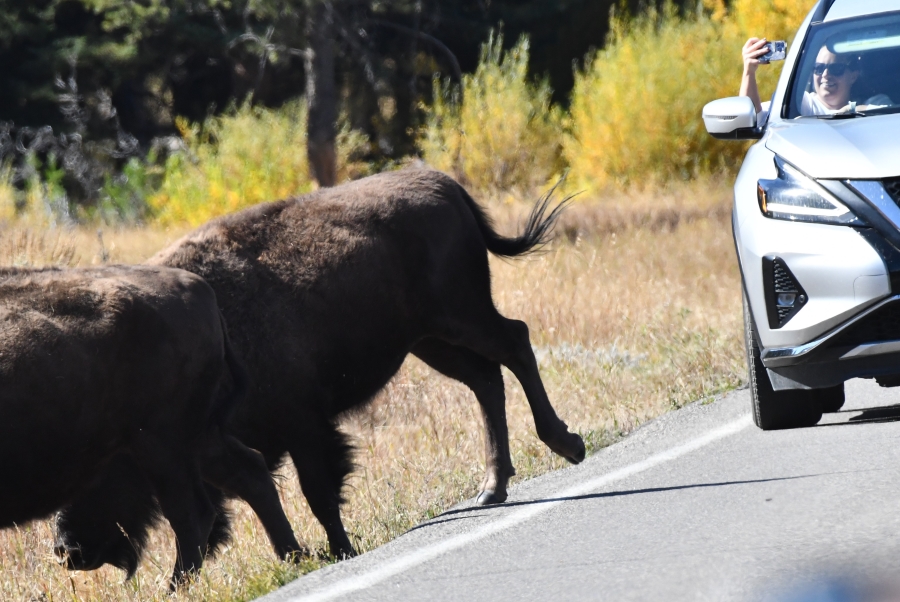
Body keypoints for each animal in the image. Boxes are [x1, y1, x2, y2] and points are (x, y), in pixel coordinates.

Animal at [0, 264, 302, 584]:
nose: (67, 552)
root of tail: (200, 290)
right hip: (198, 438)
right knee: (249, 475)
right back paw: (293, 557)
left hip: (161, 447)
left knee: (191, 513)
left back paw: (176, 588)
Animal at [59, 168, 588, 556]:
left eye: (102, 468)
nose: (67, 548)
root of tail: (443, 183)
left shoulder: (303, 426)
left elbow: (318, 490)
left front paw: (340, 550)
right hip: (430, 340)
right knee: (486, 377)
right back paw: (491, 488)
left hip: (461, 316)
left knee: (515, 342)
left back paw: (566, 445)